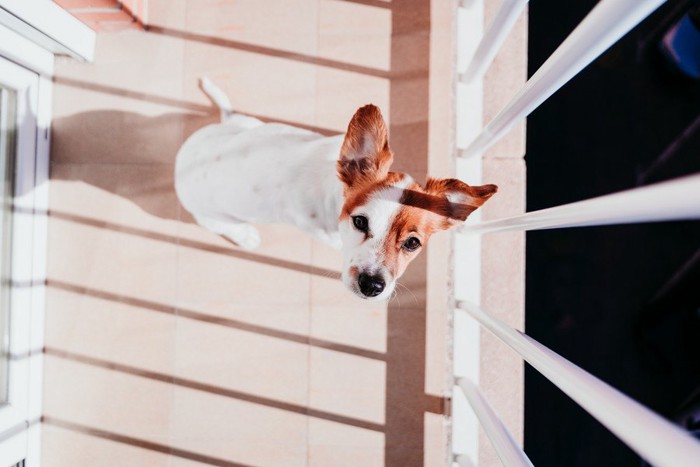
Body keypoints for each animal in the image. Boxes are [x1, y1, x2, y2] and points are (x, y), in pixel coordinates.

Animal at [175, 78, 498, 302]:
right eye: (360, 222)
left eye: (412, 243)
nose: (372, 286)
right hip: (211, 216)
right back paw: (245, 235)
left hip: (248, 124)